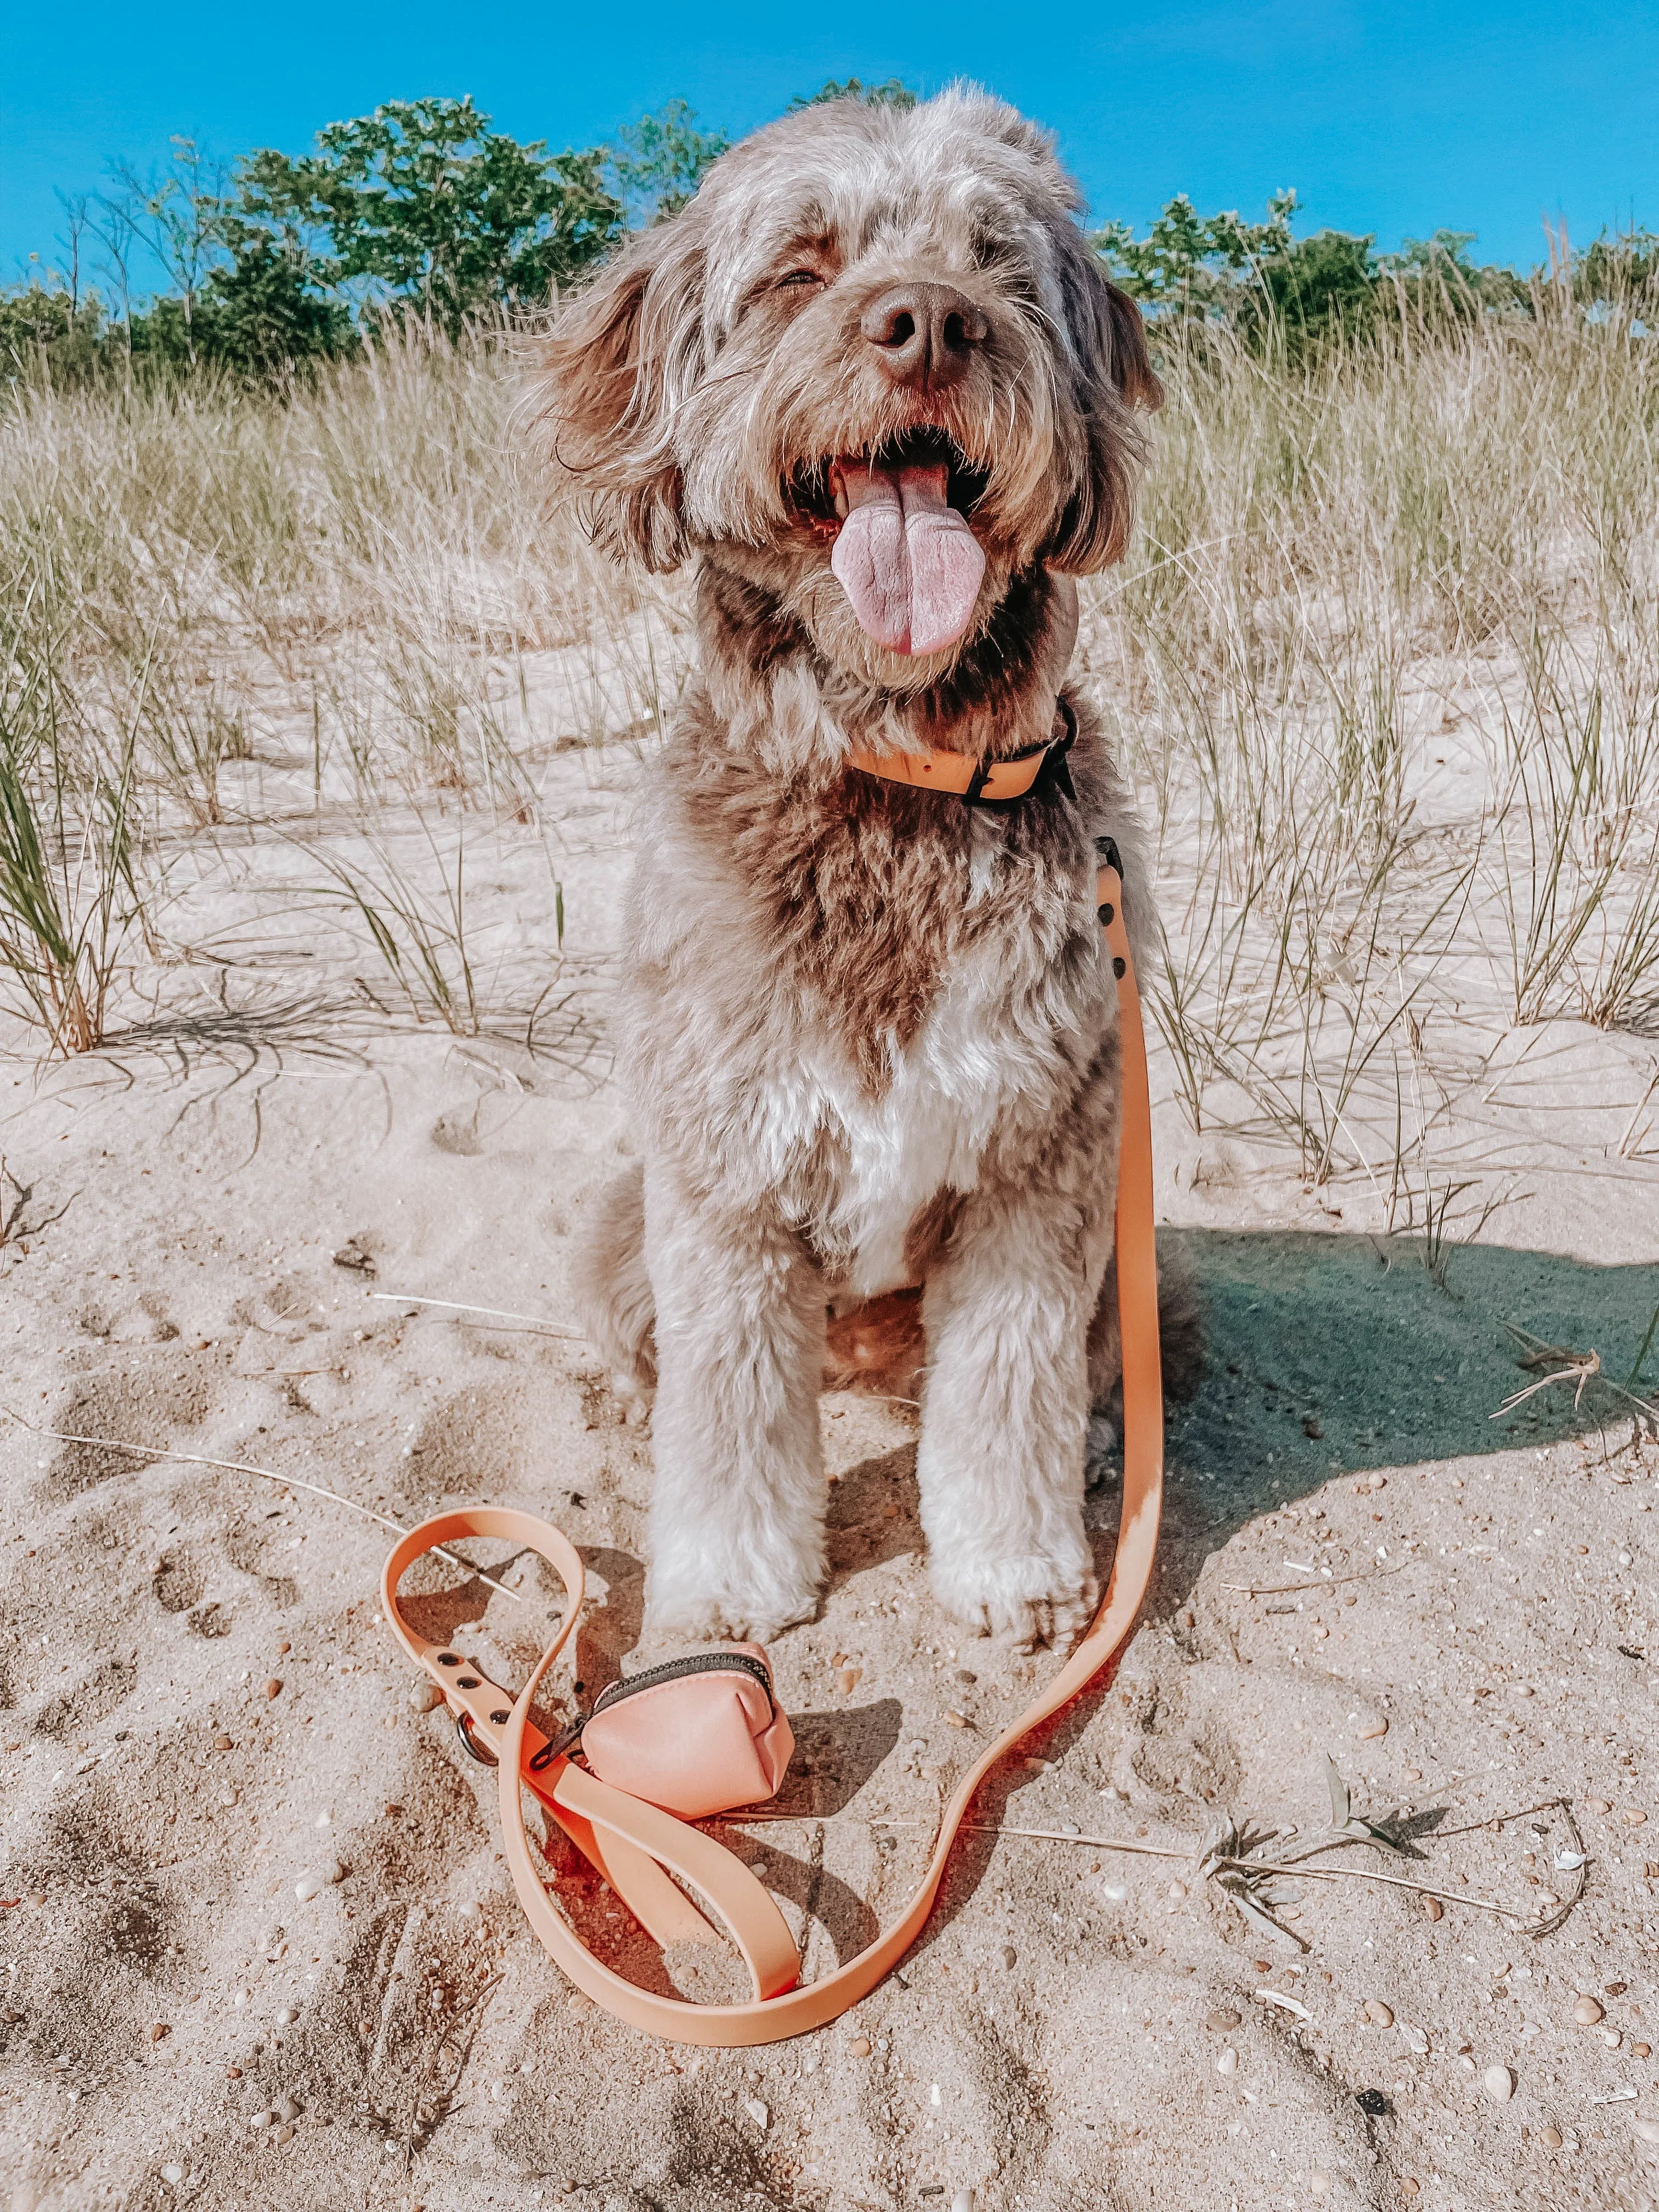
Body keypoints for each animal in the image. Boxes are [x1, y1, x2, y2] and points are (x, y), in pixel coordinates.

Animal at [555, 86, 1194, 1654]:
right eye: (802, 267)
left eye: (995, 264)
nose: (929, 325)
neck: (891, 777)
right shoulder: (724, 1182)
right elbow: (730, 1412)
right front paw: (727, 1584)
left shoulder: (1041, 1171)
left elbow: (1008, 1391)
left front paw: (1016, 1568)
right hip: (620, 1217)